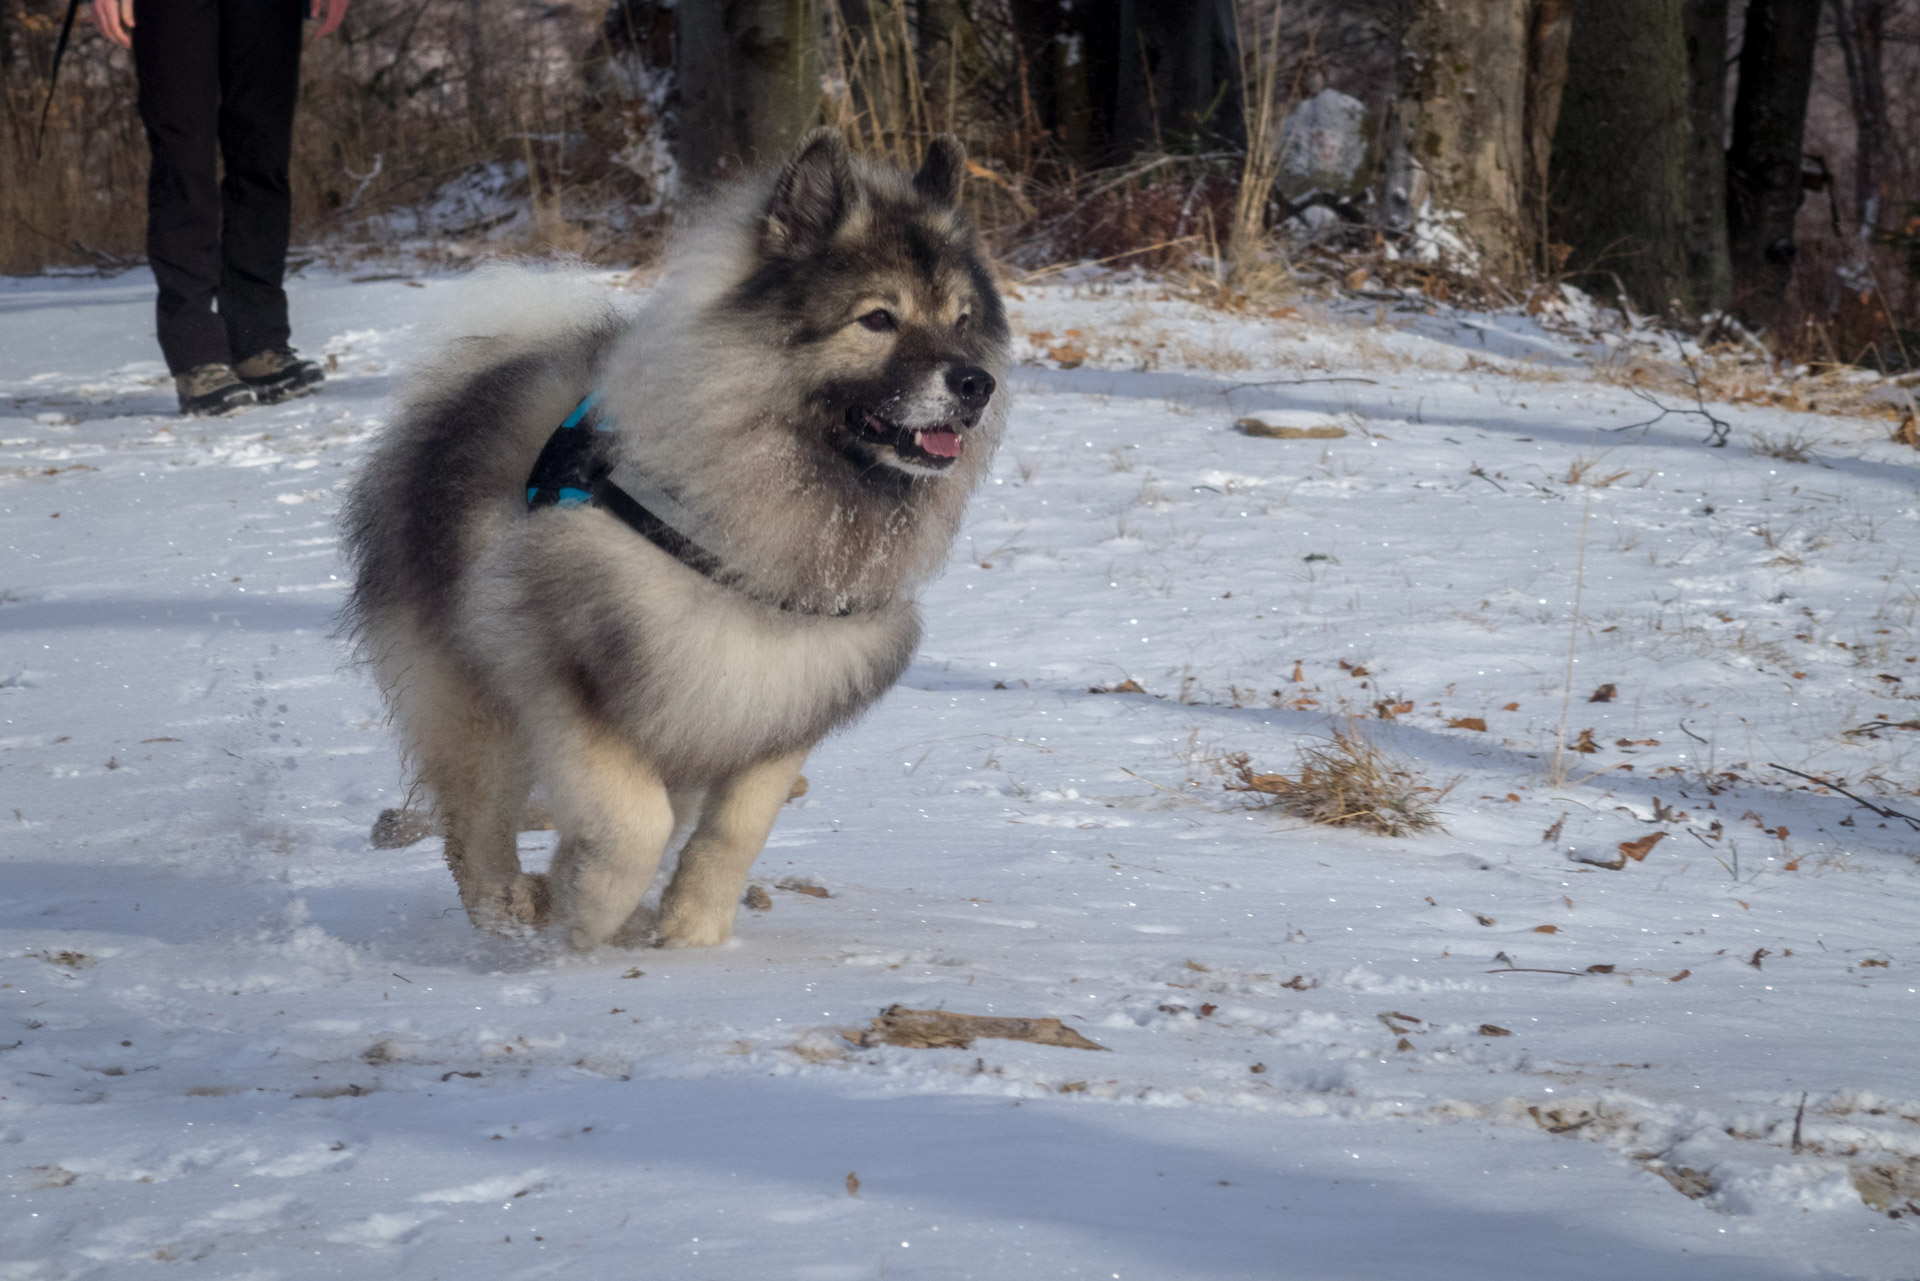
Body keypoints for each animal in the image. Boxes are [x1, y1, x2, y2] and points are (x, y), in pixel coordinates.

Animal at [341, 132, 1006, 952]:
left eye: (962, 318)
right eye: (878, 319)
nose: (975, 384)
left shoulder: (780, 691)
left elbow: (735, 827)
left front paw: (691, 930)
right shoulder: (572, 663)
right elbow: (633, 821)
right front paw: (585, 908)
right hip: (472, 701)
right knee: (476, 824)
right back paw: (509, 909)